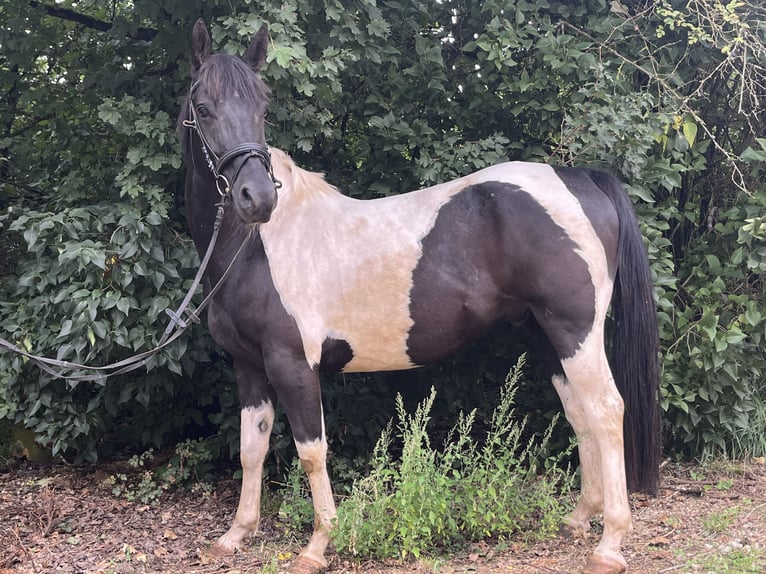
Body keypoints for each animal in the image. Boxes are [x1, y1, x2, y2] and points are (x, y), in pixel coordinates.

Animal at [177, 19, 660, 574]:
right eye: (204, 107)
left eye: (261, 106)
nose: (257, 198)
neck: (257, 247)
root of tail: (580, 179)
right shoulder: (250, 366)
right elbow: (250, 448)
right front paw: (236, 534)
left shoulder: (292, 364)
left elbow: (311, 452)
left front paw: (318, 546)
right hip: (549, 336)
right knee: (580, 414)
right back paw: (580, 519)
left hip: (575, 330)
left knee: (606, 410)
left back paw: (610, 543)